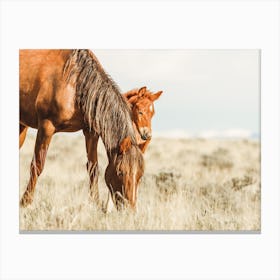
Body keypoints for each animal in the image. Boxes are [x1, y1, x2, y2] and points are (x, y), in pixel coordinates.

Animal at [19, 49, 144, 209]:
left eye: (140, 175)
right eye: (121, 172)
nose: (130, 210)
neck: (76, 84)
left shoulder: (91, 133)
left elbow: (93, 169)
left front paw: (95, 204)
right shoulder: (46, 127)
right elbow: (37, 166)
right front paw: (25, 202)